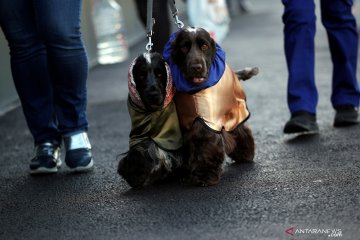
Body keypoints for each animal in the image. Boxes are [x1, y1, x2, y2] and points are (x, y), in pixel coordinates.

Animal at [117, 52, 183, 188]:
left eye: (160, 74)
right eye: (141, 75)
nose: (153, 95)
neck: (152, 113)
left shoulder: (172, 138)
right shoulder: (138, 136)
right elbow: (141, 149)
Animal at [163, 26, 258, 188]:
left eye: (204, 46)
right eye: (184, 47)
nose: (196, 67)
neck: (193, 90)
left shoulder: (205, 123)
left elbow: (205, 147)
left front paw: (204, 177)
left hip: (234, 109)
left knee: (240, 130)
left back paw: (246, 154)